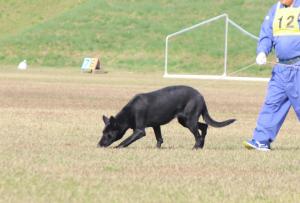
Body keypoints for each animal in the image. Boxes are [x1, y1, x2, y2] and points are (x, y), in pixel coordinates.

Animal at [97, 85, 236, 148]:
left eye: (108, 134)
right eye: (102, 133)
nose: (99, 145)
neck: (129, 113)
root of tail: (201, 96)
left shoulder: (140, 131)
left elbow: (125, 141)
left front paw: (117, 147)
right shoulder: (156, 125)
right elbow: (159, 138)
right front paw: (157, 149)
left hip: (189, 120)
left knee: (198, 134)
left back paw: (196, 147)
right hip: (185, 120)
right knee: (204, 127)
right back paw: (201, 146)